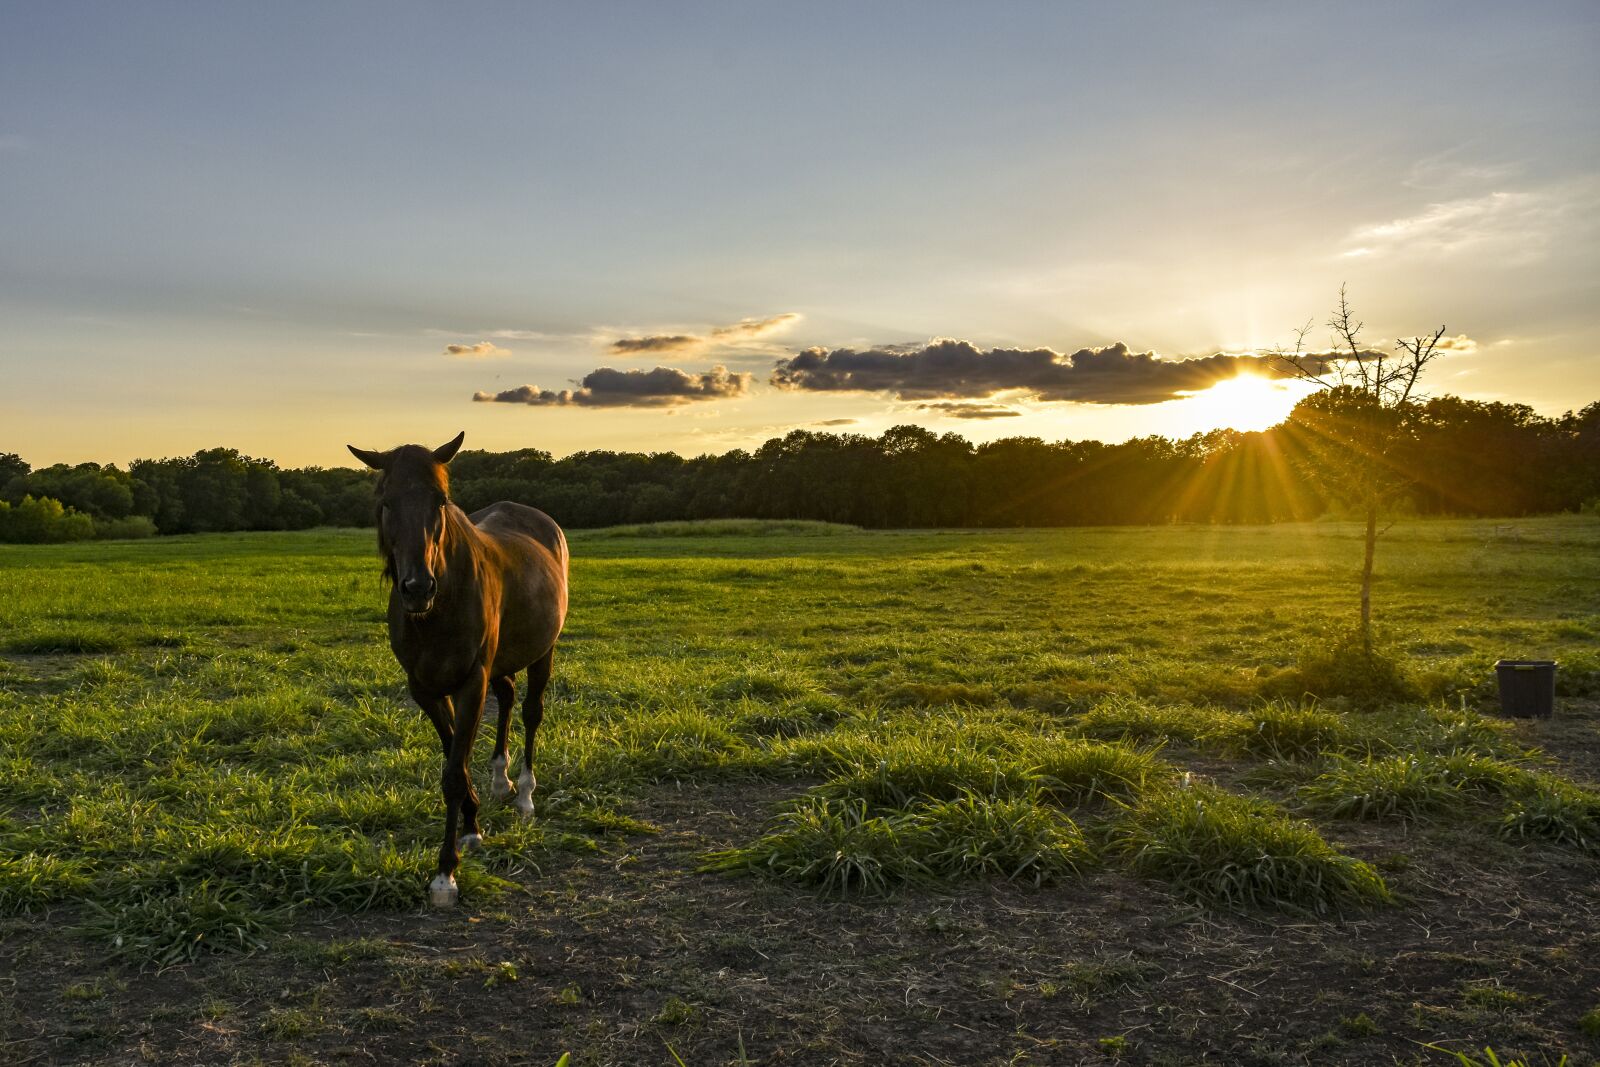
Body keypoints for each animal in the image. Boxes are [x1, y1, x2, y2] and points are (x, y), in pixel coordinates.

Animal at [345, 428, 569, 908]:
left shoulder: (470, 684)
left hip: (543, 651)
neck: (440, 606)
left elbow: (452, 772)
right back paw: (500, 780)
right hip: (500, 663)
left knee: (531, 712)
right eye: (385, 500)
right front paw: (471, 825)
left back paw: (524, 793)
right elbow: (456, 762)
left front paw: (445, 872)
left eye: (441, 499)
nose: (417, 588)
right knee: (507, 698)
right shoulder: (425, 689)